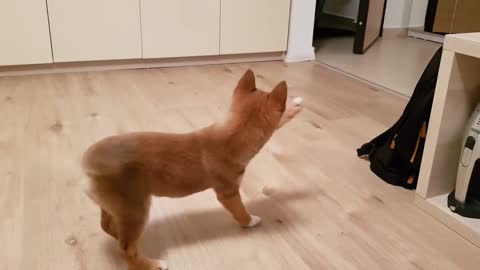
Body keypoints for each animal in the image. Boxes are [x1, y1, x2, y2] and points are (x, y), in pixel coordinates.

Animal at [81, 69, 300, 270]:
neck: (235, 133)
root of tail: (89, 161)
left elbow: (282, 119)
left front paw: (296, 105)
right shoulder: (228, 193)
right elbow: (240, 211)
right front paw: (250, 221)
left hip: (116, 207)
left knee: (108, 227)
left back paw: (120, 236)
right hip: (135, 209)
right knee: (126, 250)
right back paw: (150, 265)